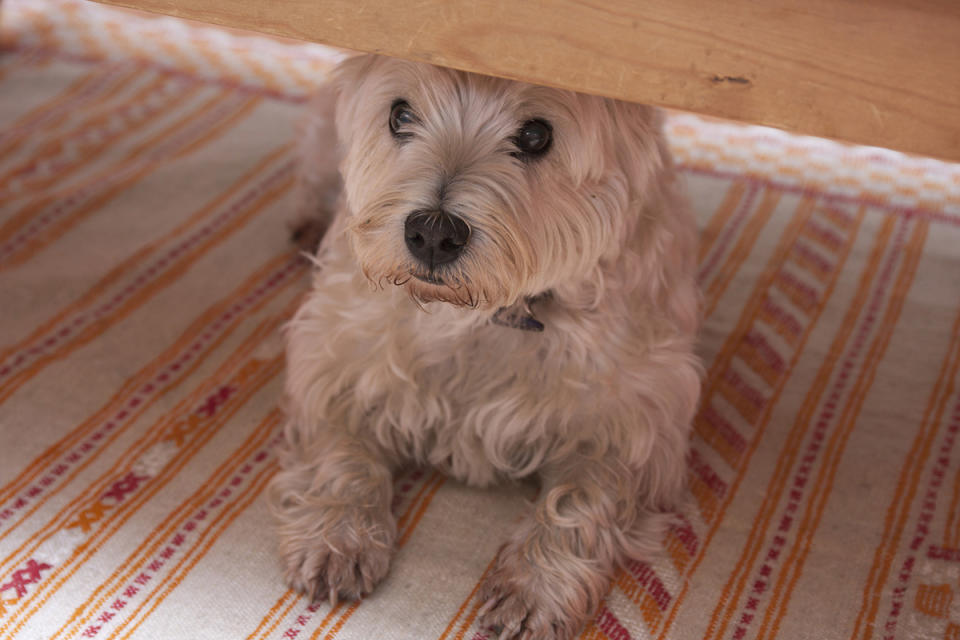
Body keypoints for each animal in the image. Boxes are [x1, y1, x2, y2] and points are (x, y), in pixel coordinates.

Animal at [266, 53, 700, 640]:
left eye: (537, 135)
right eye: (400, 114)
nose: (432, 232)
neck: (477, 315)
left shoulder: (636, 428)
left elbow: (583, 499)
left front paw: (535, 586)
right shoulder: (336, 359)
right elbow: (340, 454)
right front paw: (337, 534)